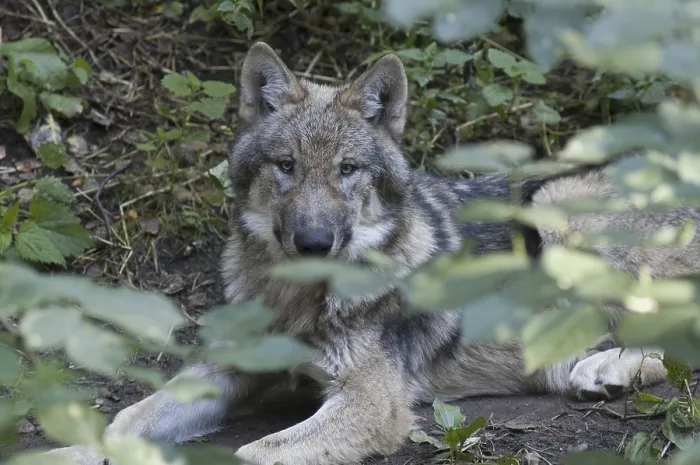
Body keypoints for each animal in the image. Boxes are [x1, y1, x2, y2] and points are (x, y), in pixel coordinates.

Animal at [44, 42, 700, 465]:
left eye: (347, 170)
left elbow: (255, 450)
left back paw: (604, 368)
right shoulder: (227, 369)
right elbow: (129, 419)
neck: (297, 300)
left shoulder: (370, 402)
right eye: (287, 166)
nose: (313, 243)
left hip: (558, 207)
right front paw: (67, 452)